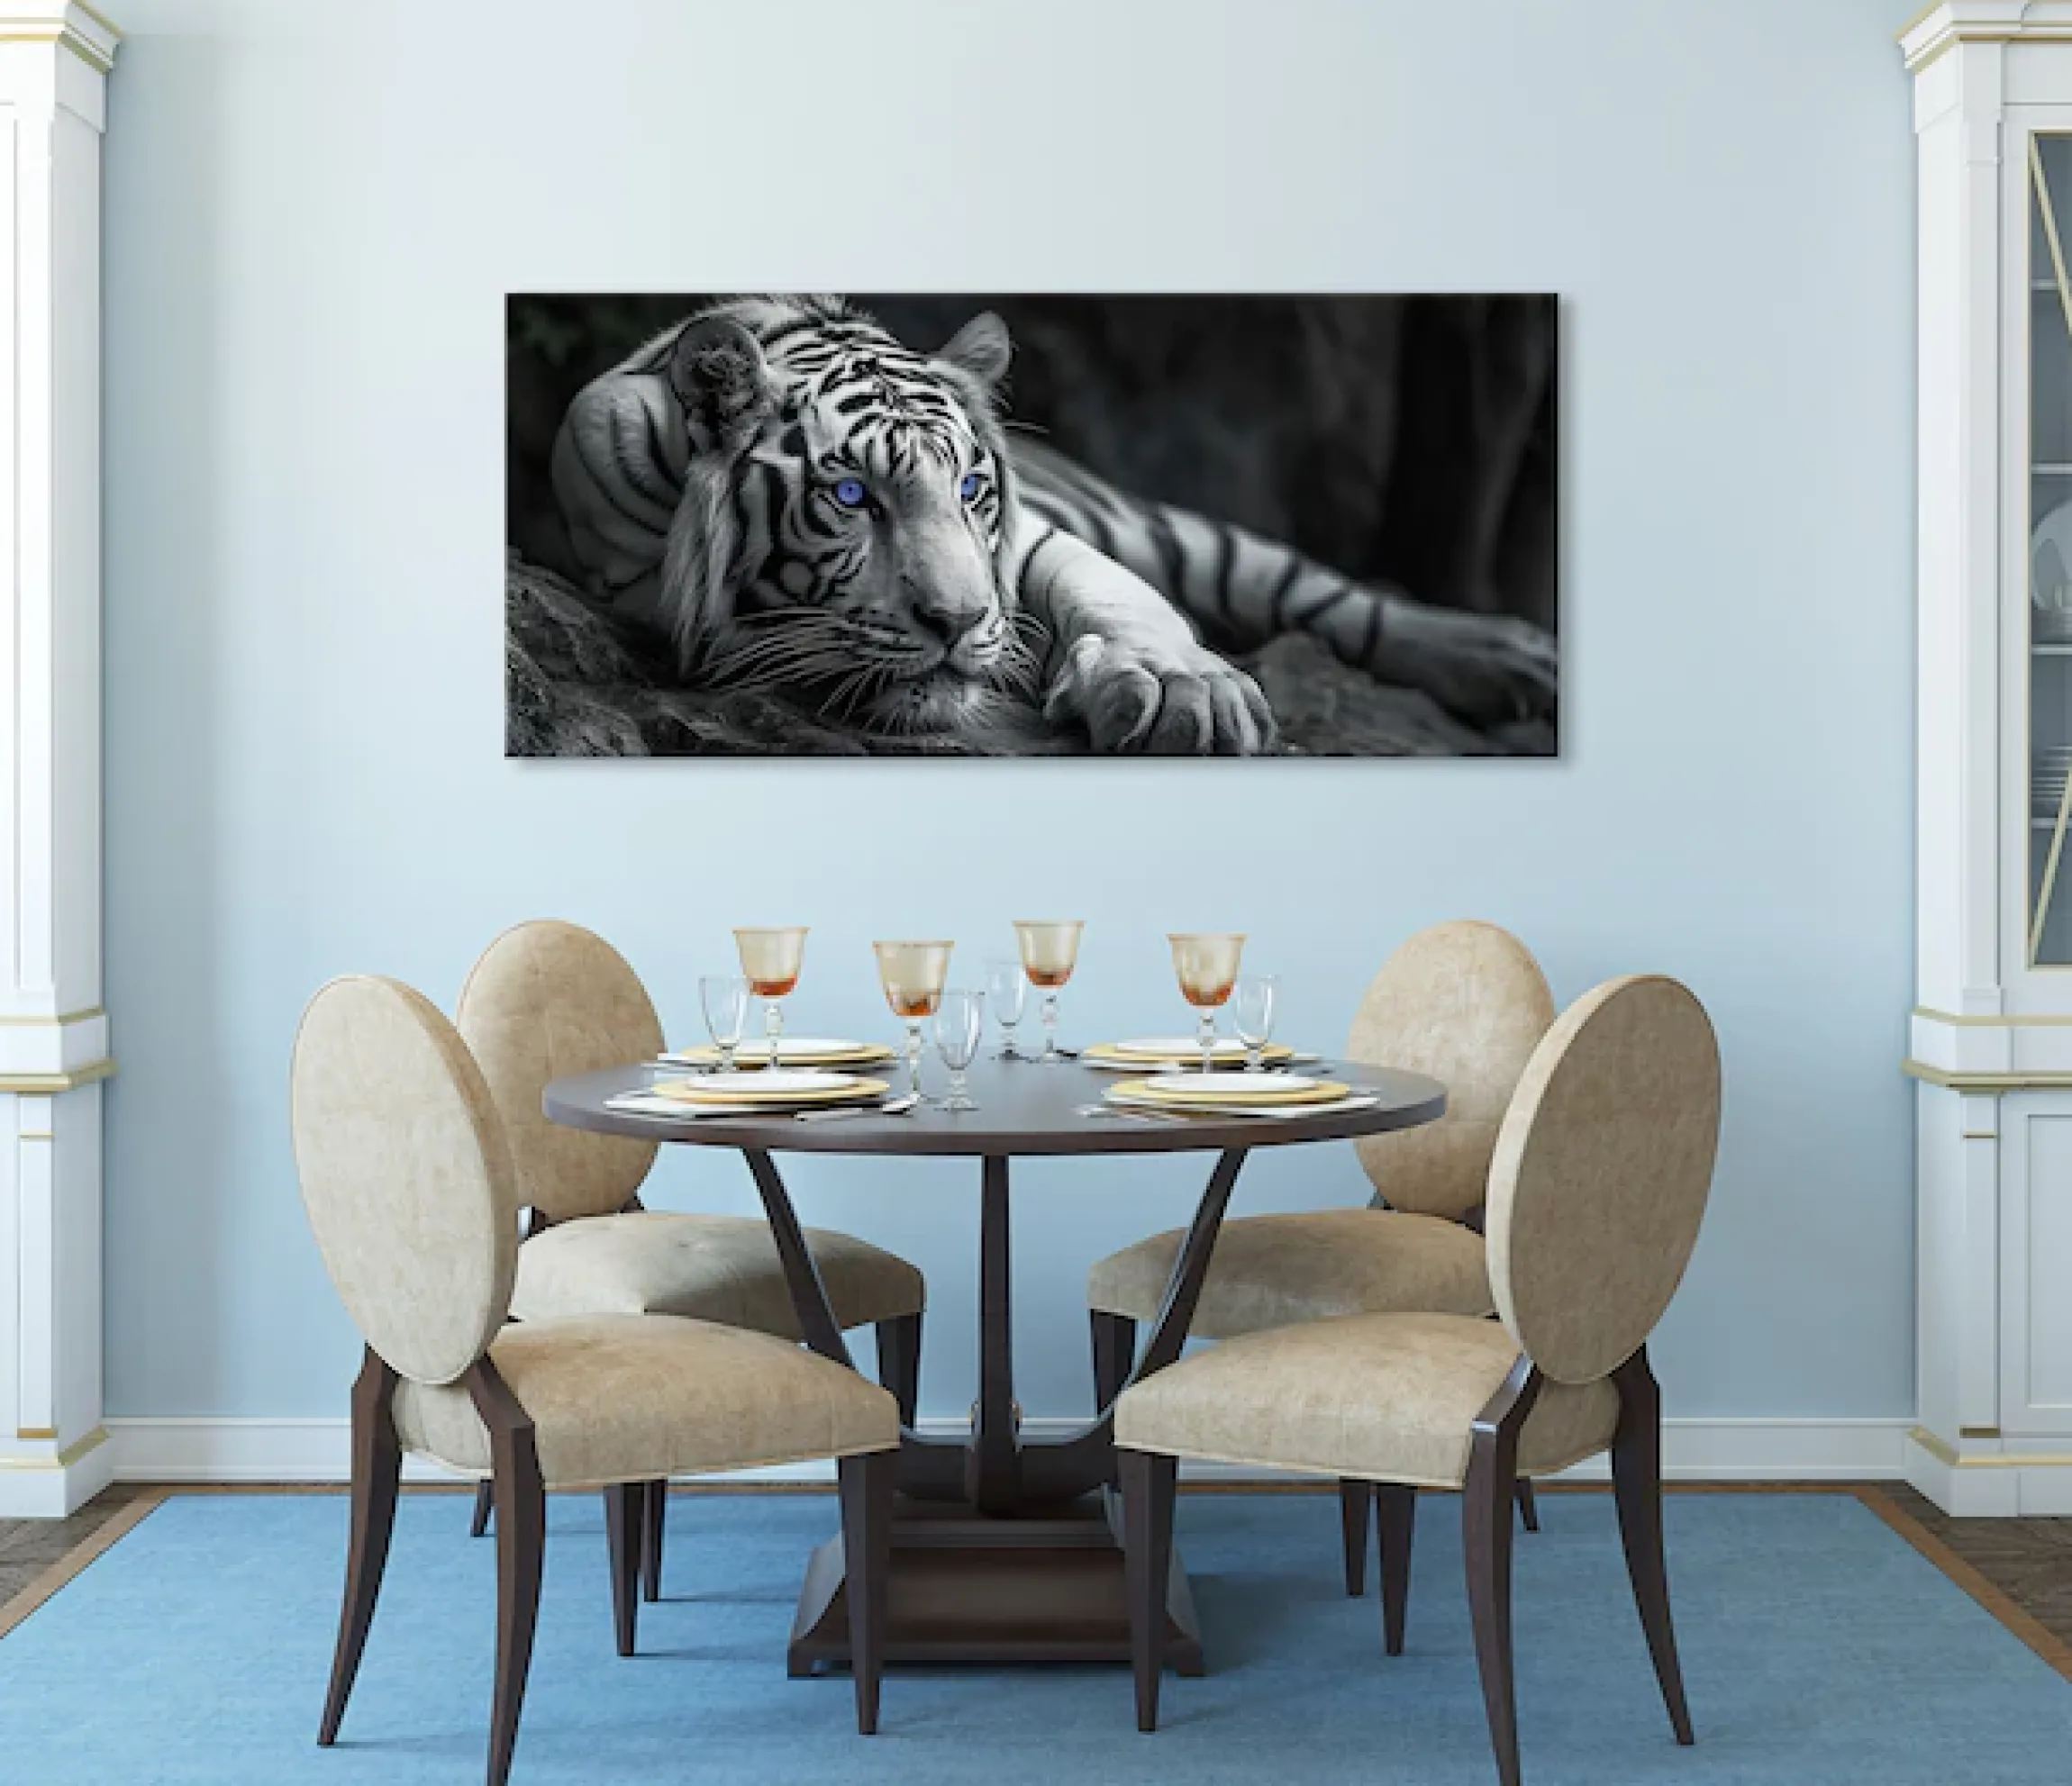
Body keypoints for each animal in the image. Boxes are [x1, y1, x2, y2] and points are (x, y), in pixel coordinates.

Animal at [549, 295, 1556, 755]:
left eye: (968, 491)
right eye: (852, 498)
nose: (956, 625)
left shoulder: (1031, 542)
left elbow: (1113, 592)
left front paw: (1186, 693)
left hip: (1198, 540)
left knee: (1330, 595)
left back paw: (1510, 661)